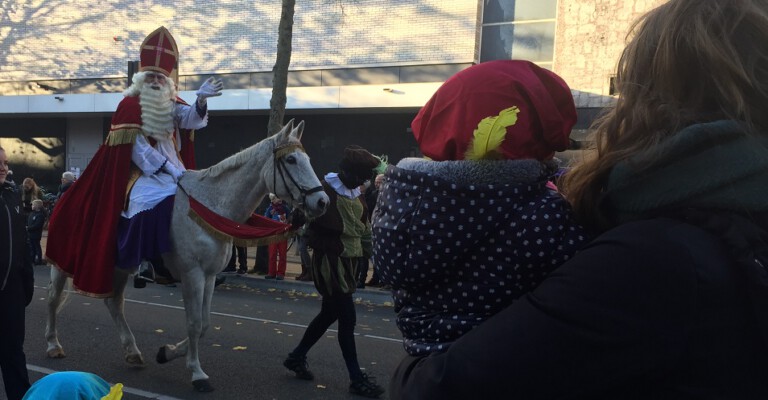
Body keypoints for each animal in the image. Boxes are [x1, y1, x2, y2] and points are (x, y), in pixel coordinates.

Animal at [45, 120, 328, 392]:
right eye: (291, 160)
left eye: (307, 159)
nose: (322, 201)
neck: (211, 204)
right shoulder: (193, 275)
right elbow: (193, 323)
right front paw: (197, 372)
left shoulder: (210, 277)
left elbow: (204, 324)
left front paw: (168, 353)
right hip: (62, 264)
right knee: (53, 299)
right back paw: (53, 345)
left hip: (119, 266)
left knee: (113, 303)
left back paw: (133, 352)